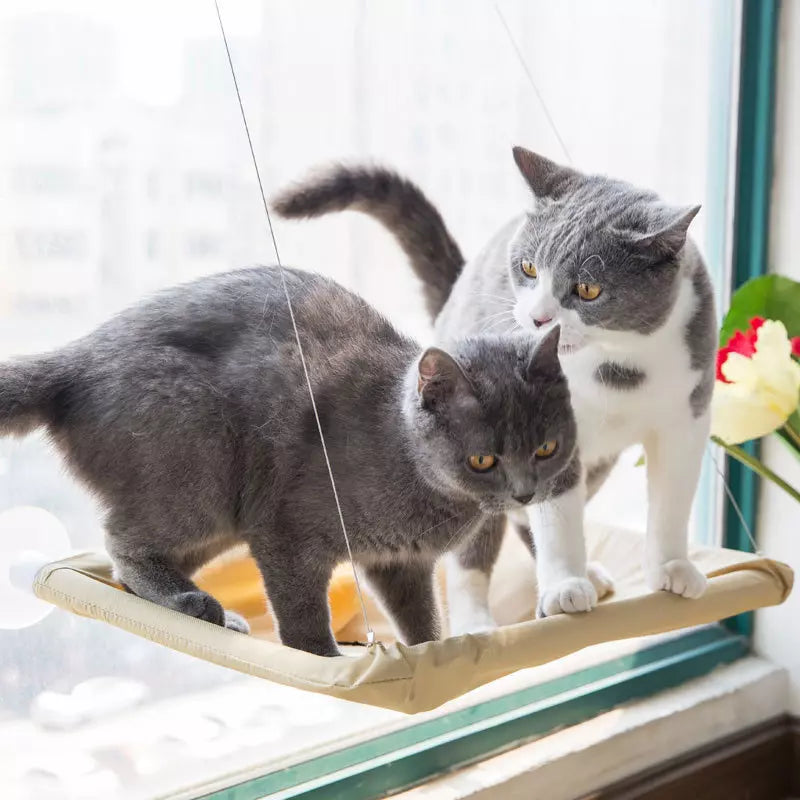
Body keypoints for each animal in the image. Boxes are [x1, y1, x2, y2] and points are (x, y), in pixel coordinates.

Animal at [0, 266, 580, 652]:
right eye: (483, 460)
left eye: (545, 449)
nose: (525, 492)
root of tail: (74, 361)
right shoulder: (287, 532)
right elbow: (300, 611)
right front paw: (324, 656)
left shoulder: (399, 563)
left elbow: (418, 615)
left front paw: (429, 654)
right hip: (200, 466)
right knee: (122, 543)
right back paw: (192, 604)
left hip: (222, 513)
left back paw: (212, 614)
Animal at [272, 144, 716, 632]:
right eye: (528, 267)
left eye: (588, 288)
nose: (538, 318)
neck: (615, 365)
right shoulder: (555, 421)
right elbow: (556, 512)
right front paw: (564, 587)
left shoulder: (688, 414)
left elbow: (671, 498)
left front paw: (673, 568)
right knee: (473, 553)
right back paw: (475, 625)